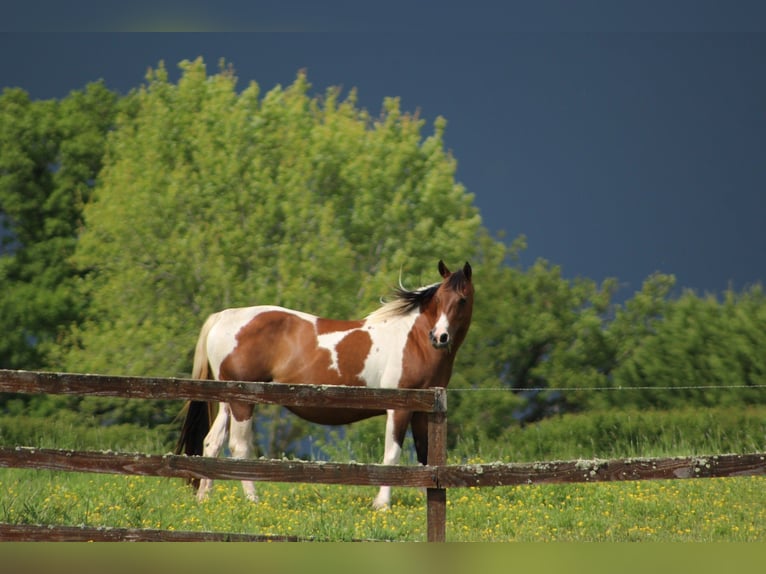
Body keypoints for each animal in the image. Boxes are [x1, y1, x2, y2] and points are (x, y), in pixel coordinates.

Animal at [175, 260, 473, 509]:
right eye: (438, 299)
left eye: (461, 299)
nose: (440, 337)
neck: (413, 340)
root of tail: (224, 316)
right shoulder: (399, 408)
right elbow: (392, 456)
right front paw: (382, 505)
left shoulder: (424, 410)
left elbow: (425, 455)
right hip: (242, 402)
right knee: (239, 447)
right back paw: (253, 500)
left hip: (227, 399)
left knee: (212, 443)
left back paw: (204, 498)